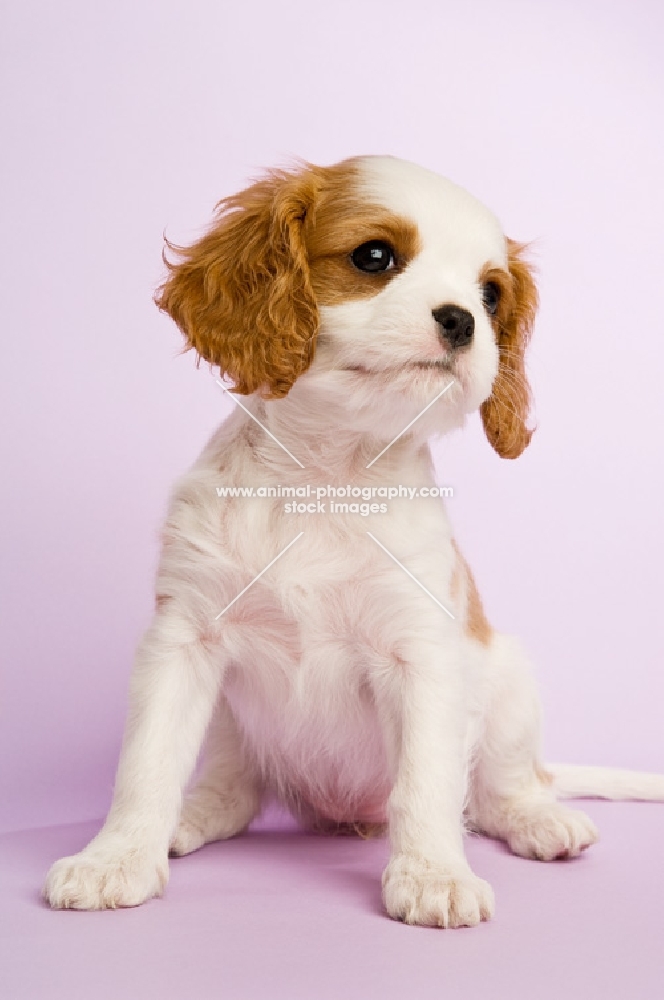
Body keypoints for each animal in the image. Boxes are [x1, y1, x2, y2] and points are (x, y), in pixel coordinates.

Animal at [45, 158, 664, 928]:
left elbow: (427, 784)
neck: (328, 479)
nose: (462, 320)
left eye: (491, 296)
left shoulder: (424, 655)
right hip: (230, 729)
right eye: (374, 257)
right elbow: (145, 766)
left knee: (500, 789)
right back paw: (191, 818)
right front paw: (118, 858)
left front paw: (433, 875)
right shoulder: (181, 641)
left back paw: (540, 820)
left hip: (509, 686)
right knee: (235, 791)